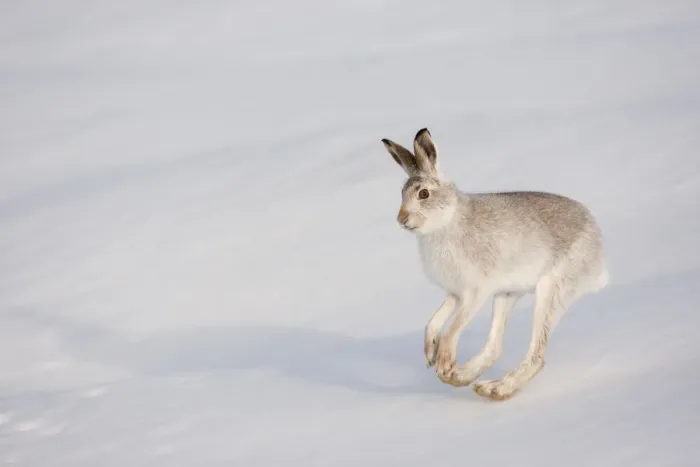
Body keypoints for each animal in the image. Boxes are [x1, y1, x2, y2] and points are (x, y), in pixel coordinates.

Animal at [380, 128, 609, 400]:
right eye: (401, 194)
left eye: (423, 194)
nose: (401, 219)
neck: (446, 221)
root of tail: (598, 247)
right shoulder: (454, 293)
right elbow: (434, 321)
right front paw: (430, 355)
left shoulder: (475, 291)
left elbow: (454, 327)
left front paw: (443, 361)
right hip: (507, 294)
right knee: (495, 348)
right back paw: (466, 379)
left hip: (551, 289)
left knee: (536, 355)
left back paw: (495, 389)